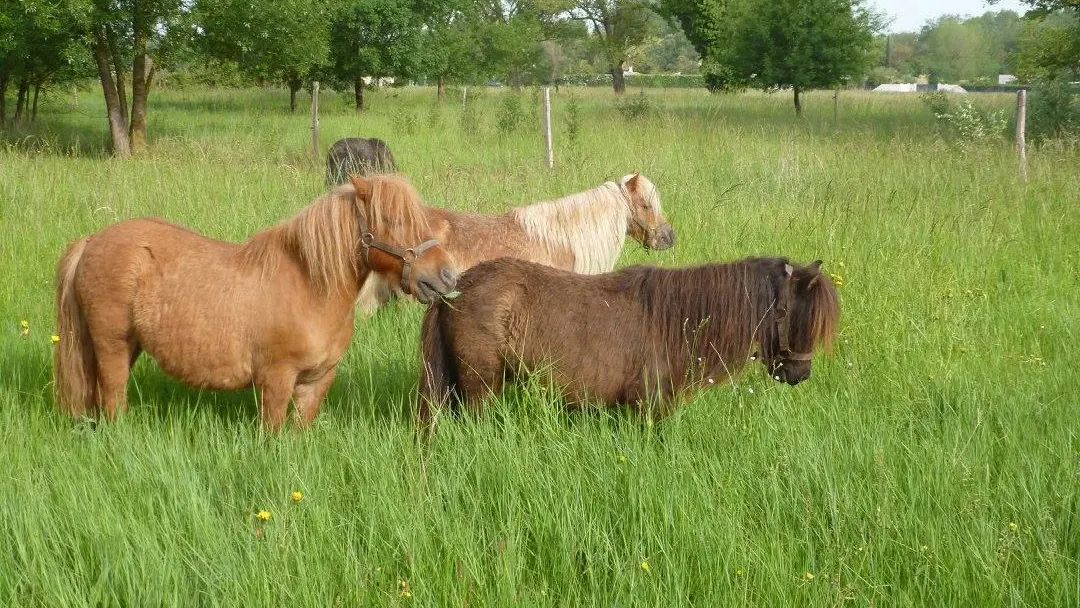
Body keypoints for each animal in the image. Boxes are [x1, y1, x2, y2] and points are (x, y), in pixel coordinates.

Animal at [54, 174, 458, 430]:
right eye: (393, 220)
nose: (447, 275)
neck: (310, 286)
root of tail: (91, 241)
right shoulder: (276, 380)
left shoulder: (316, 382)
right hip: (112, 347)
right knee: (112, 399)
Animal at [418, 256, 839, 426]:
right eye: (792, 316)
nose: (800, 374)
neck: (674, 320)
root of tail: (454, 289)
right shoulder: (648, 408)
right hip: (480, 388)